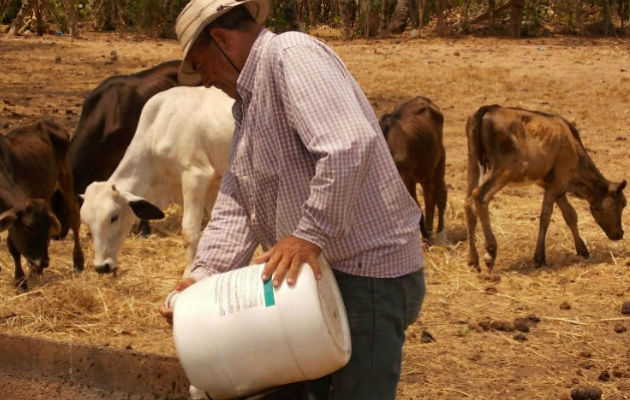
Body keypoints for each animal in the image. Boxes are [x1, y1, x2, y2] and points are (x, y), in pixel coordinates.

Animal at [0, 119, 84, 290]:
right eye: (28, 226)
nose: (44, 262)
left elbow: (13, 246)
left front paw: (20, 280)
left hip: (65, 178)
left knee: (74, 218)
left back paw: (78, 261)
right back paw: (36, 270)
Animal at [79, 86, 235, 276]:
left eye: (113, 217)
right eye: (86, 222)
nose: (102, 267)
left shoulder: (196, 176)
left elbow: (190, 231)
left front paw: (189, 273)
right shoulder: (214, 184)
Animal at [380, 95, 450, 242]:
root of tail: (424, 99)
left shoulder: (408, 178)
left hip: (439, 162)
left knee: (440, 194)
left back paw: (439, 232)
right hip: (426, 172)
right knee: (430, 197)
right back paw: (430, 230)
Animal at [464, 104, 628, 272]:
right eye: (622, 203)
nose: (620, 233)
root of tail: (488, 109)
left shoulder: (556, 185)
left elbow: (570, 215)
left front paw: (582, 249)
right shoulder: (558, 181)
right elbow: (545, 216)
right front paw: (540, 257)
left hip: (473, 163)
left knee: (468, 203)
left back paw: (473, 260)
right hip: (507, 167)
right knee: (480, 196)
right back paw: (490, 253)